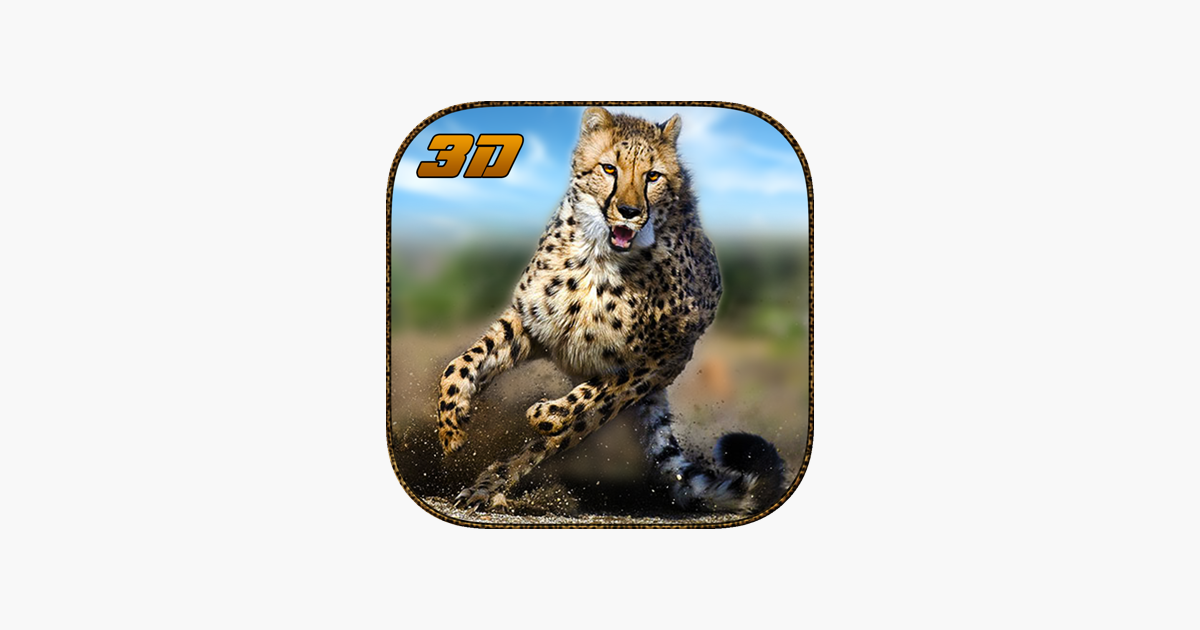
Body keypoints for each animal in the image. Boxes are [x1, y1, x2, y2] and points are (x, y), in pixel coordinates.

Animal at [435, 106, 788, 514]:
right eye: (609, 169)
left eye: (653, 176)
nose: (630, 211)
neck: (599, 257)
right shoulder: (530, 324)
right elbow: (458, 364)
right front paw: (452, 424)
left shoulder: (655, 357)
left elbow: (582, 400)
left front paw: (544, 412)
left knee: (560, 434)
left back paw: (492, 482)